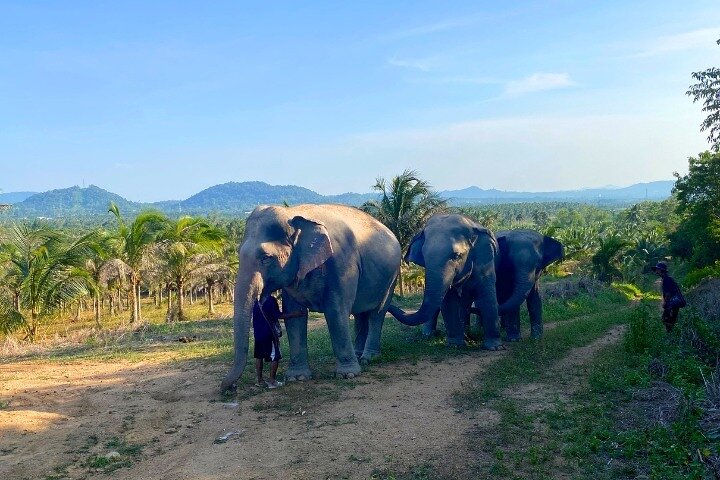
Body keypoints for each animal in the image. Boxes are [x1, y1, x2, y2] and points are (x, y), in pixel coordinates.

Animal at [220, 204, 401, 392]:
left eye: (266, 258)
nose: (231, 388)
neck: (293, 213)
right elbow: (294, 316)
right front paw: (297, 377)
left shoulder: (342, 264)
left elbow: (336, 313)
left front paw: (348, 375)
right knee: (360, 314)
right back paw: (358, 354)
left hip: (392, 277)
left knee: (377, 313)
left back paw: (368, 358)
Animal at [386, 213, 503, 350]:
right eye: (424, 256)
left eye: (457, 256)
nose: (388, 304)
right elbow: (448, 300)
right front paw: (455, 345)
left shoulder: (485, 262)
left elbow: (487, 295)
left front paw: (494, 347)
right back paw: (429, 335)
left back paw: (467, 331)